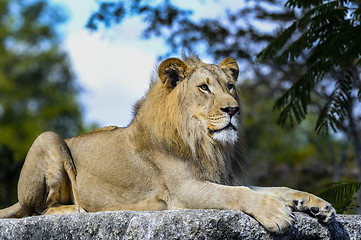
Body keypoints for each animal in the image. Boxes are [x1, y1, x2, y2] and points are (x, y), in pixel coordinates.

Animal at [0, 55, 334, 232]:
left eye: (230, 87)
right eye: (204, 88)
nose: (233, 109)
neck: (205, 143)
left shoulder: (218, 178)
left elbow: (276, 188)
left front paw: (316, 204)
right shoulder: (185, 190)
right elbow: (239, 194)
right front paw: (276, 214)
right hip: (48, 138)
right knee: (36, 210)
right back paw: (76, 210)